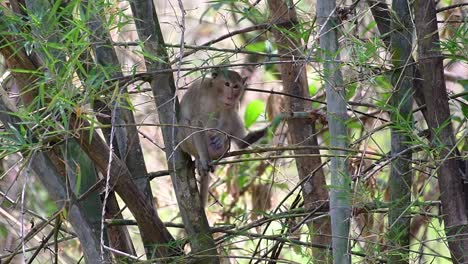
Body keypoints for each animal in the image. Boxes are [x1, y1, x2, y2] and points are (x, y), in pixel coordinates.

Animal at [178, 70, 249, 206]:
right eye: (227, 84)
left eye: (236, 86)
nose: (230, 96)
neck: (216, 96)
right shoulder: (200, 88)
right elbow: (196, 122)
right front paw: (204, 159)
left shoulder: (233, 104)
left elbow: (229, 118)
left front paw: (221, 135)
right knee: (184, 124)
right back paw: (199, 158)